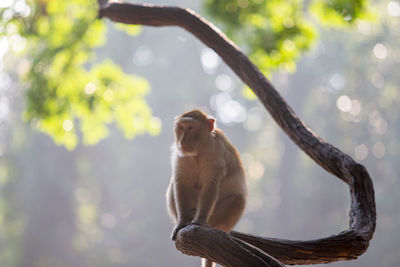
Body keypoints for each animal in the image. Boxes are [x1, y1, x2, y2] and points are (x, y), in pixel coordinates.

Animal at [166, 109, 247, 267]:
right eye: (181, 127)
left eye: (191, 128)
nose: (183, 140)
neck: (199, 150)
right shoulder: (181, 155)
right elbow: (180, 182)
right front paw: (182, 222)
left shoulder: (215, 152)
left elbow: (211, 183)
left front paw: (200, 221)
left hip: (216, 217)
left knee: (238, 199)